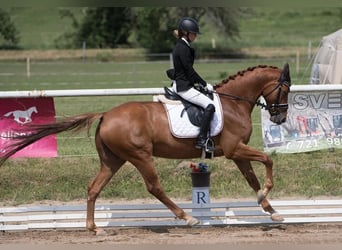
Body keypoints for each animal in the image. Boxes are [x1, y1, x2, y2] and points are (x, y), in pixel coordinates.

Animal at [0, 63, 292, 233]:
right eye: (285, 89)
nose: (280, 118)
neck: (234, 103)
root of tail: (106, 114)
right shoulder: (234, 149)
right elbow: (267, 160)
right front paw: (267, 197)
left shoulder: (237, 152)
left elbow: (252, 178)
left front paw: (271, 211)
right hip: (140, 155)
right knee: (154, 187)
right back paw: (187, 218)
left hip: (113, 160)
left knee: (94, 188)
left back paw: (93, 228)